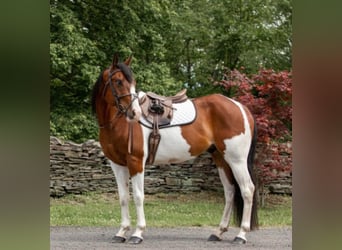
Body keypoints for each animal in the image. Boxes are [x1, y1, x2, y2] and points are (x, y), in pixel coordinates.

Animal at [92, 54, 258, 244]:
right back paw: (218, 232)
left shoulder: (136, 162)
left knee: (247, 190)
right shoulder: (117, 165)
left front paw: (137, 233)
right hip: (221, 159)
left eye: (132, 82)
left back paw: (241, 235)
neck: (117, 124)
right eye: (118, 81)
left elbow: (139, 196)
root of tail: (241, 108)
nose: (135, 113)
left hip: (237, 160)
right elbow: (123, 198)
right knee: (230, 191)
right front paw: (121, 232)